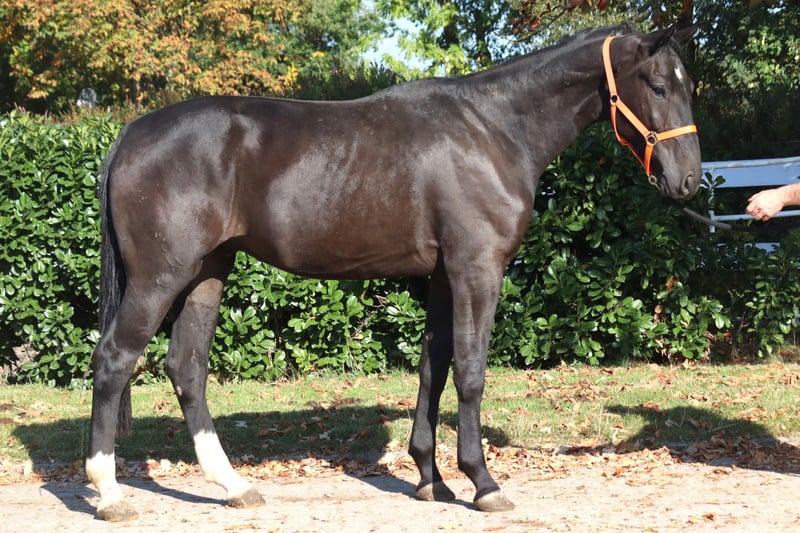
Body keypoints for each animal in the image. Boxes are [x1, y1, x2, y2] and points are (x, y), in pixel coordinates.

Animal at [86, 23, 701, 521]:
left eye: (686, 86)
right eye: (659, 87)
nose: (690, 181)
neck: (495, 127)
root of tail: (131, 133)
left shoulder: (443, 276)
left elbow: (433, 367)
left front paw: (431, 479)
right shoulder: (477, 269)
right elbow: (470, 373)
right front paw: (483, 482)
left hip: (206, 274)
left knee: (186, 367)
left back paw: (234, 486)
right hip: (160, 277)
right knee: (115, 359)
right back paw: (109, 492)